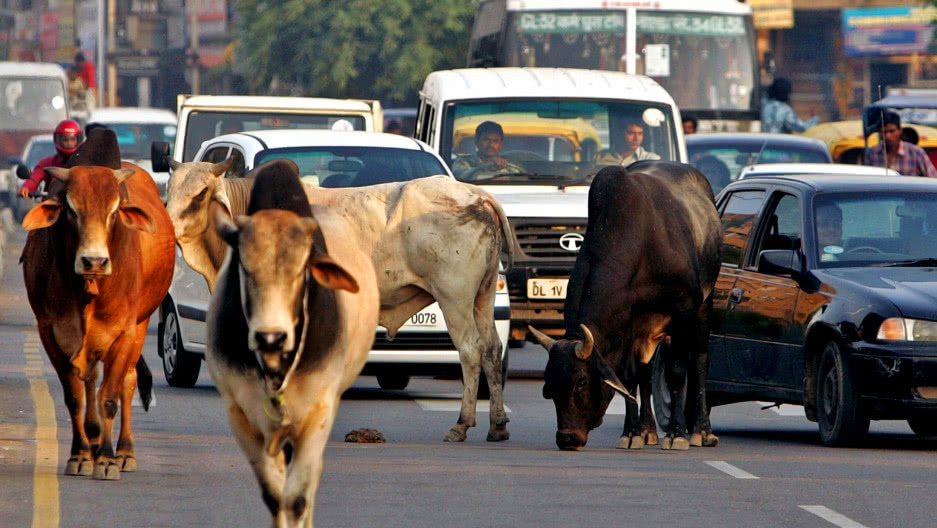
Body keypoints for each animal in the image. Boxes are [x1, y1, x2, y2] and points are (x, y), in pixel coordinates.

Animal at [21, 130, 176, 476]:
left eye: (114, 211)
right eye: (70, 209)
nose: (94, 261)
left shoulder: (123, 332)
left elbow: (109, 397)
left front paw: (106, 458)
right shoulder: (50, 331)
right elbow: (75, 396)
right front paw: (80, 454)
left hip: (141, 324)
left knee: (127, 383)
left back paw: (124, 452)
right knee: (90, 379)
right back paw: (92, 440)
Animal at [165, 159, 508, 444]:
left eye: (200, 194)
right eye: (169, 190)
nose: (168, 228)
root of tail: (477, 195)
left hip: (454, 298)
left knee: (470, 351)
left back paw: (462, 424)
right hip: (483, 296)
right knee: (492, 349)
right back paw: (497, 425)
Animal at [207, 163, 378, 524]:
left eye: (301, 271)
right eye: (244, 267)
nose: (270, 337)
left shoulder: (319, 414)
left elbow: (298, 498)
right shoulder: (241, 417)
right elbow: (275, 498)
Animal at [532, 161, 720, 450]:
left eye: (581, 382)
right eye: (550, 385)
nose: (566, 438)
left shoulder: (684, 308)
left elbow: (677, 372)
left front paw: (677, 433)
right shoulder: (629, 324)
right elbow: (629, 379)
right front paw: (632, 432)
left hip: (703, 307)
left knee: (699, 360)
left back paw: (702, 431)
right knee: (644, 372)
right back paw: (647, 430)